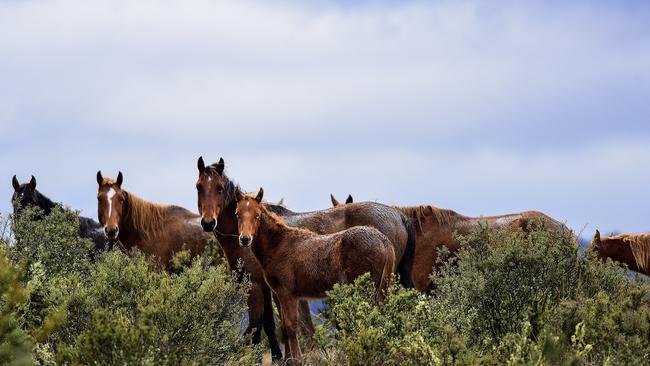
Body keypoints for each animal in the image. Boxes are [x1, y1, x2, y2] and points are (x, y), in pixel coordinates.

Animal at [235, 187, 392, 364]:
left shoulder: (287, 293)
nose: (245, 239)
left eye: (257, 215)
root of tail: (384, 241)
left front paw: (297, 361)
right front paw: (290, 360)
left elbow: (291, 327)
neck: (279, 245)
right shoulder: (283, 295)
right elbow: (285, 328)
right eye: (237, 213)